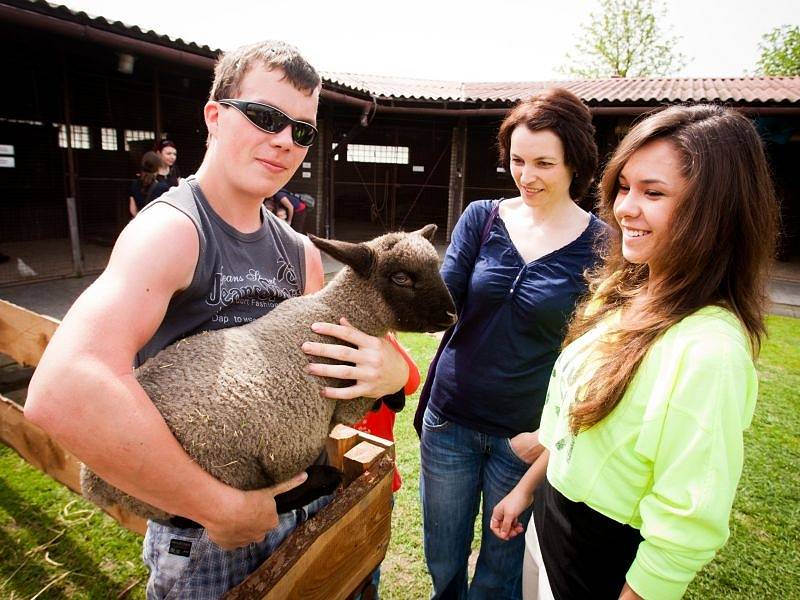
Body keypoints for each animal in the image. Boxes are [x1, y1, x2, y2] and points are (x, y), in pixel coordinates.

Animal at [83, 225, 456, 520]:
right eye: (401, 277)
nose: (452, 315)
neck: (340, 311)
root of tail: (92, 483)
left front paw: (395, 397)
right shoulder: (347, 400)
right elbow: (366, 402)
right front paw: (393, 400)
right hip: (223, 467)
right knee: (250, 504)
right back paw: (322, 479)